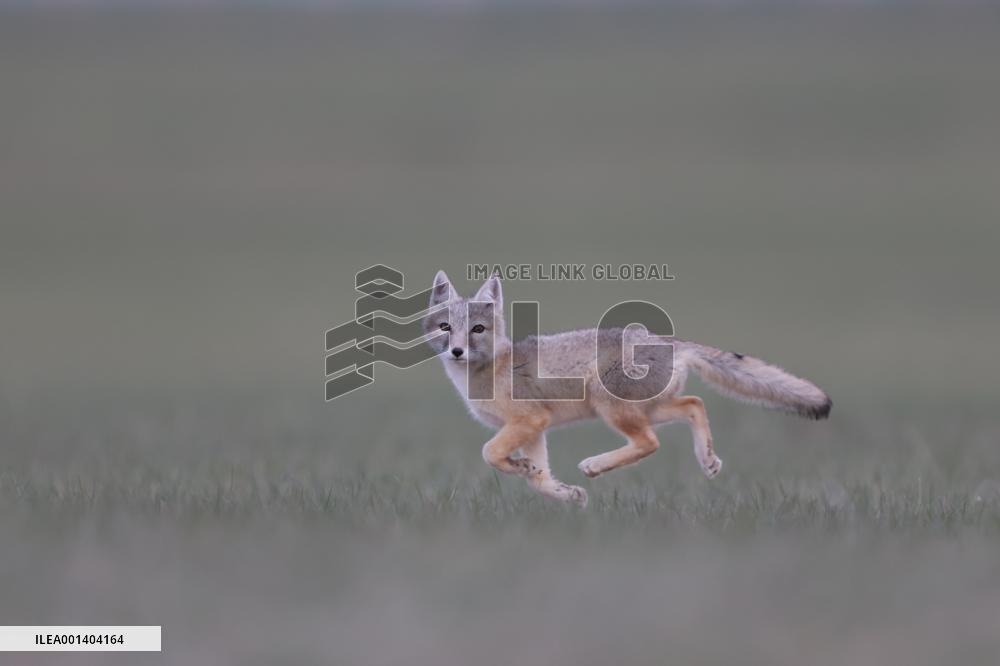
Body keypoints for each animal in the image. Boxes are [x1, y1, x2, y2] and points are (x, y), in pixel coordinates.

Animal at [424, 270, 831, 508]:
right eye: (445, 327)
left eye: (477, 329)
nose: (456, 351)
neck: (491, 367)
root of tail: (669, 340)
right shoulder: (535, 428)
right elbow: (539, 478)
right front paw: (561, 491)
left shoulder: (529, 420)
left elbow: (489, 452)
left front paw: (520, 466)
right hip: (650, 407)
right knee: (694, 403)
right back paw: (707, 459)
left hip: (613, 407)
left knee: (649, 442)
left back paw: (595, 465)